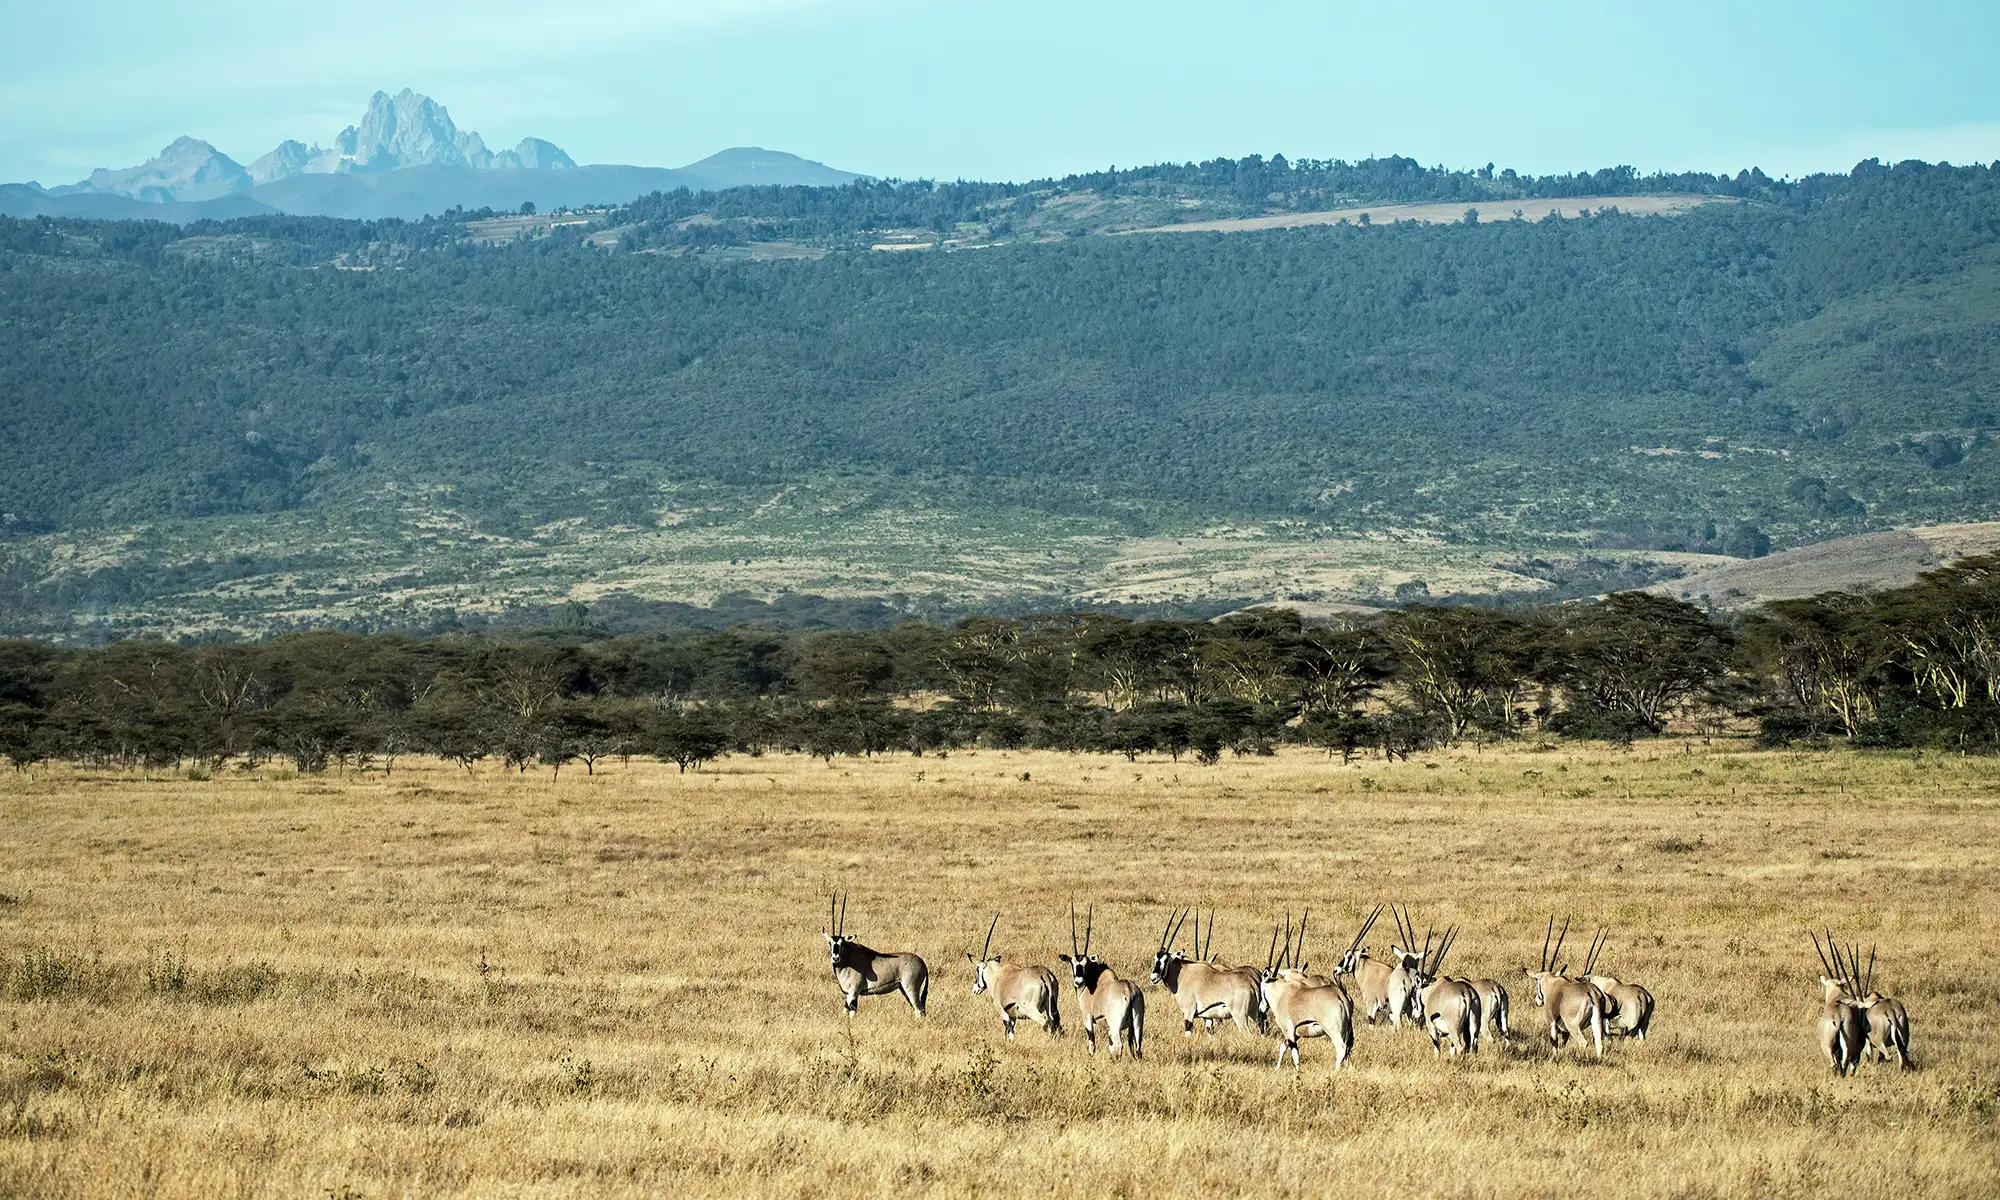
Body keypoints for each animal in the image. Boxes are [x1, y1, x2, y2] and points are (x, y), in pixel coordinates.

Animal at [1064, 900, 1144, 1056]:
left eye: (1086, 964)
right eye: (1072, 963)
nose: (1078, 981)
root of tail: (1129, 991)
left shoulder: (1087, 1017)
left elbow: (1092, 1042)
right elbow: (1110, 1045)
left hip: (1115, 1024)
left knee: (1120, 1045)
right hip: (1137, 1024)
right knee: (1137, 1048)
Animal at [1144, 904, 1264, 1032]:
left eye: (1165, 960)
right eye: (1155, 959)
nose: (1153, 978)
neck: (1183, 975)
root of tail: (1252, 983)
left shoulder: (1189, 1013)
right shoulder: (1207, 1017)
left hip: (1240, 1016)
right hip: (1255, 1015)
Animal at [1256, 908, 1352, 1072]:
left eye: (1262, 986)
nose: (1262, 1007)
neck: (1280, 994)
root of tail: (1340, 996)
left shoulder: (1288, 1031)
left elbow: (1295, 1054)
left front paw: (1298, 1072)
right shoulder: (1295, 1034)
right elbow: (1283, 1048)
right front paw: (1277, 1068)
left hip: (1333, 1030)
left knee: (1341, 1049)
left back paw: (1335, 1071)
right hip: (1347, 1030)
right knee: (1348, 1050)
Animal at [1520, 916, 1616, 1056]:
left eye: (1536, 980)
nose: (1538, 1001)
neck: (1552, 983)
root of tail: (1592, 994)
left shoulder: (1552, 1024)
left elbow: (1554, 1044)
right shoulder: (1565, 1031)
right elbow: (1562, 1045)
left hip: (1573, 1026)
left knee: (1583, 1043)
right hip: (1596, 1022)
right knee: (1599, 1043)